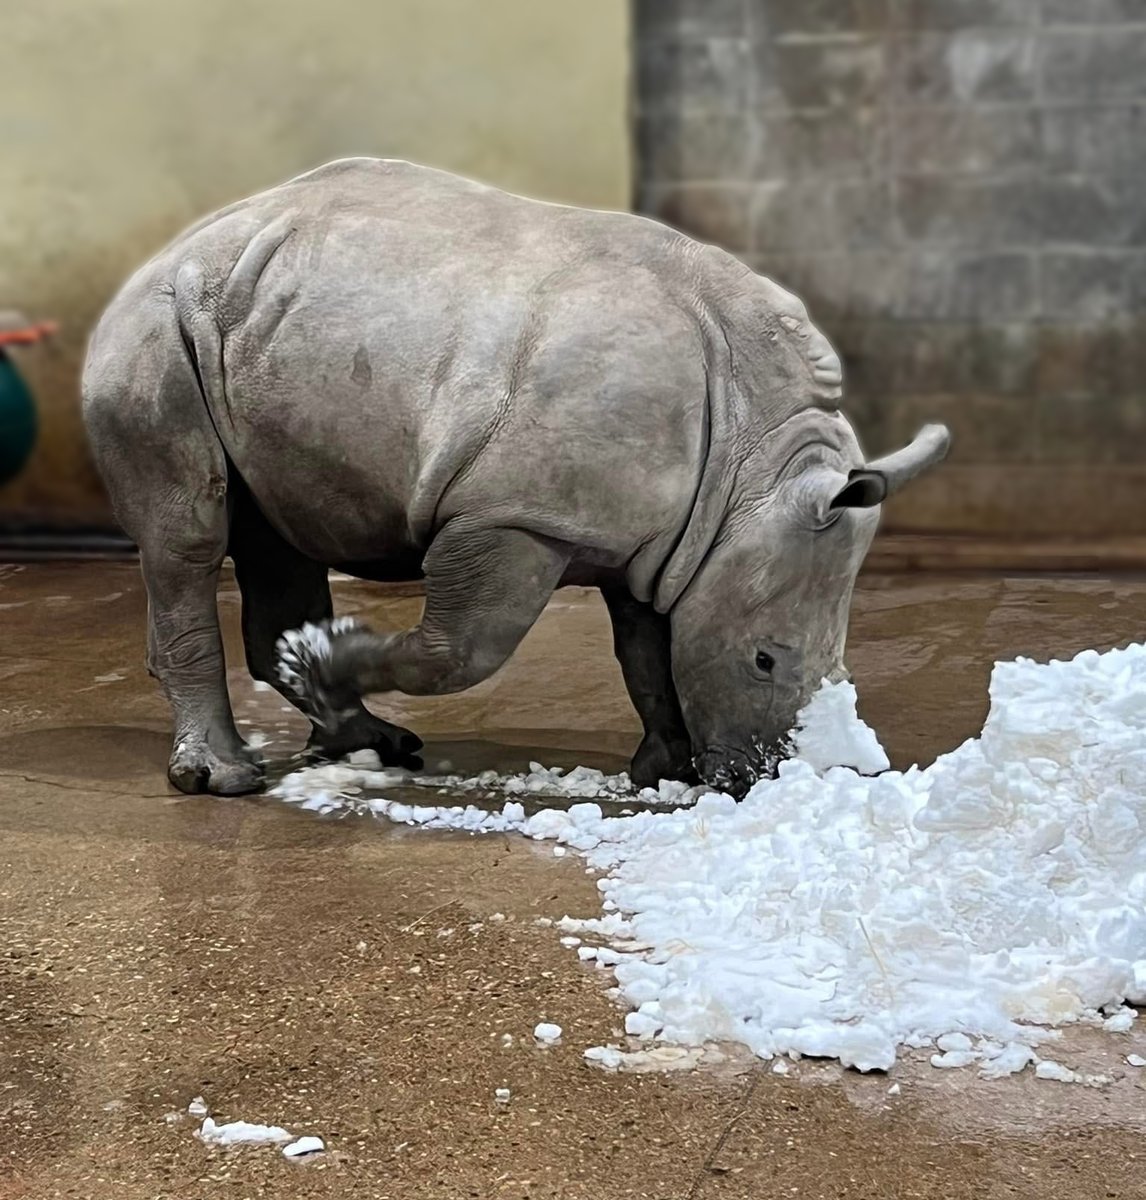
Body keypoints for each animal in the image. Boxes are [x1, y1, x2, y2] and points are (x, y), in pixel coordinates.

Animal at [82, 158, 948, 798]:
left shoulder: (658, 537)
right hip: (157, 333)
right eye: (765, 661)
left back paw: (362, 733)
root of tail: (153, 262)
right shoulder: (515, 515)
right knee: (189, 539)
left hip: (250, 330)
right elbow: (460, 654)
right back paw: (229, 777)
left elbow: (648, 649)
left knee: (278, 533)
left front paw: (664, 773)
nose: (776, 781)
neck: (754, 464)